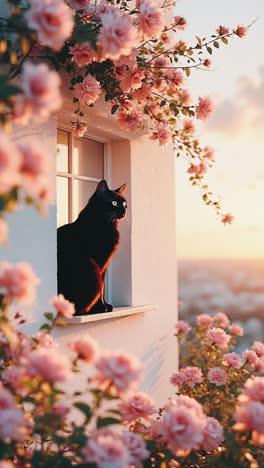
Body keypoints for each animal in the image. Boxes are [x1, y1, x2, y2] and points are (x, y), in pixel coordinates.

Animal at [57, 181, 127, 316]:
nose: (124, 211)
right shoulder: (99, 262)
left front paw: (106, 305)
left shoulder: (104, 266)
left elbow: (103, 288)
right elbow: (100, 290)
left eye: (125, 204)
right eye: (114, 203)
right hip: (90, 266)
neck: (107, 224)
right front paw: (101, 307)